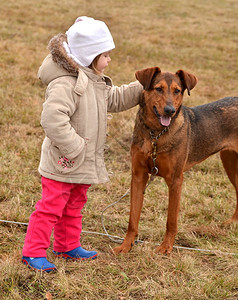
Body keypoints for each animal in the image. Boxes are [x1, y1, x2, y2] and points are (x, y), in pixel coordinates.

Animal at [113, 67, 238, 255]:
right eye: (158, 89)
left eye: (177, 91)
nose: (170, 110)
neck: (155, 135)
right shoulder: (138, 176)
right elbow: (132, 218)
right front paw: (126, 245)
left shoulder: (175, 180)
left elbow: (171, 220)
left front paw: (166, 247)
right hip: (229, 162)